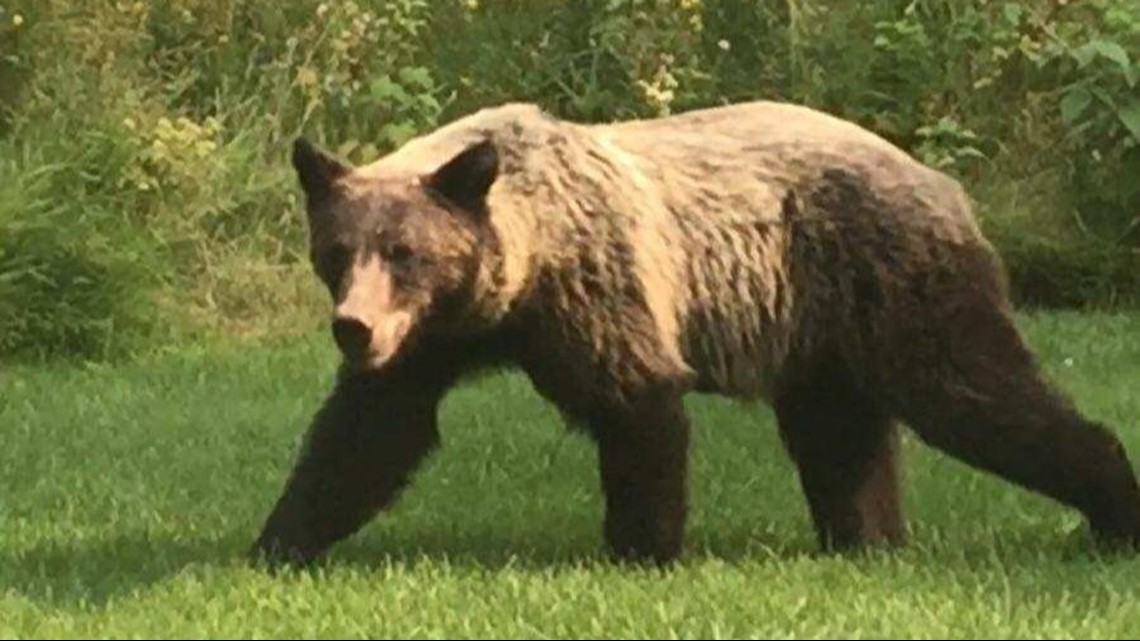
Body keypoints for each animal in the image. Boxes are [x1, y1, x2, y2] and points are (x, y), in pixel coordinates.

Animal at [249, 100, 1140, 568]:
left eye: (407, 253)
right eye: (337, 251)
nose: (353, 329)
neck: (508, 288)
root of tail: (943, 178)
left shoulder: (594, 288)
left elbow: (636, 405)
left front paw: (640, 549)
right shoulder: (432, 342)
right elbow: (367, 437)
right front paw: (276, 541)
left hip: (889, 274)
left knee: (974, 390)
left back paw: (1111, 509)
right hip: (820, 327)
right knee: (840, 435)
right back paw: (866, 536)